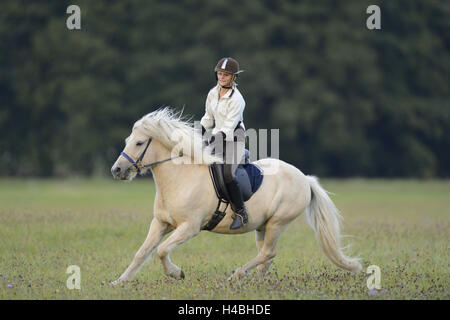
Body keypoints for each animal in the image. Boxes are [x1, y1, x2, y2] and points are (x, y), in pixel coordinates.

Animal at [109, 108, 362, 284]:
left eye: (139, 142)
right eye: (127, 141)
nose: (117, 170)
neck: (180, 179)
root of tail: (305, 179)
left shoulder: (189, 227)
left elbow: (161, 250)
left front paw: (176, 273)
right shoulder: (161, 223)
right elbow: (141, 253)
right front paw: (119, 282)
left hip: (278, 222)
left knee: (268, 252)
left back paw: (236, 277)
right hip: (263, 225)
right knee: (266, 256)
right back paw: (254, 280)